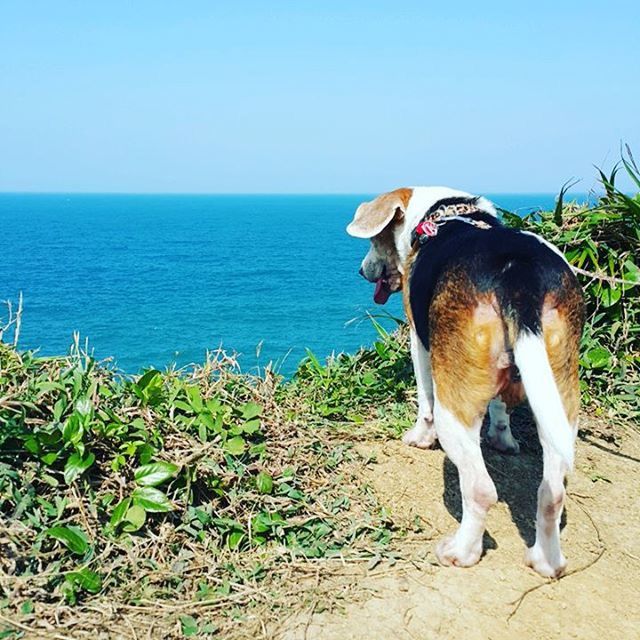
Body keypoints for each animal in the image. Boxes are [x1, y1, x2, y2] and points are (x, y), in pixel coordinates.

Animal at [350, 185, 584, 576]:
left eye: (374, 240)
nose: (361, 270)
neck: (445, 214)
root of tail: (519, 275)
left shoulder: (420, 342)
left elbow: (424, 399)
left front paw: (419, 437)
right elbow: (500, 408)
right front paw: (502, 439)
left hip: (454, 412)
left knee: (480, 489)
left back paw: (462, 551)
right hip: (559, 399)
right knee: (551, 494)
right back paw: (546, 561)